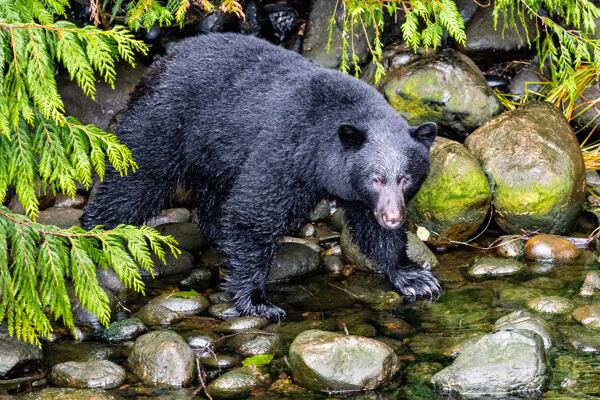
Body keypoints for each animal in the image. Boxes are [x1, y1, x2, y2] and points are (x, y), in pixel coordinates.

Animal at [81, 32, 440, 320]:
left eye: (406, 178)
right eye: (376, 178)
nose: (393, 217)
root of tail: (161, 62)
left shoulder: (358, 193)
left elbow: (371, 228)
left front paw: (412, 277)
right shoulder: (287, 151)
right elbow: (252, 213)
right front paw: (257, 300)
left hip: (212, 152)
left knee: (210, 195)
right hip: (165, 122)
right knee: (137, 181)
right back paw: (96, 234)